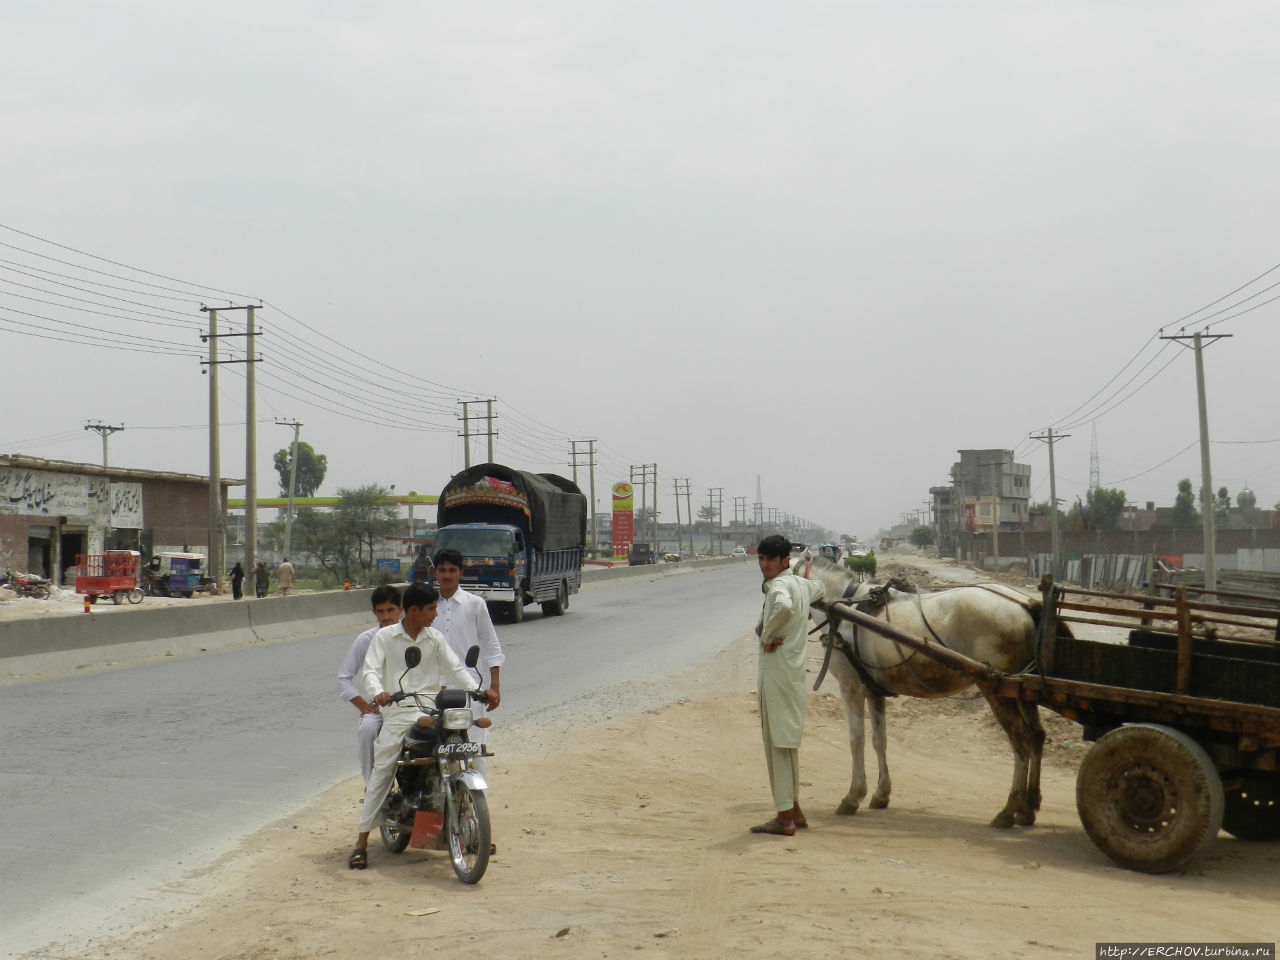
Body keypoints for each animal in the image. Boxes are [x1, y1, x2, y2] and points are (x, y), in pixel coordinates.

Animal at [798, 560, 1059, 829]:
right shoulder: (873, 691)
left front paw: (853, 796)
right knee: (1036, 735)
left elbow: (856, 739)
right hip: (1023, 689)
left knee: (1020, 740)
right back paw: (1028, 808)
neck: (844, 606)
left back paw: (1008, 811)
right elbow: (879, 741)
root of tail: (1025, 602)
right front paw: (881, 794)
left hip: (998, 689)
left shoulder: (851, 688)